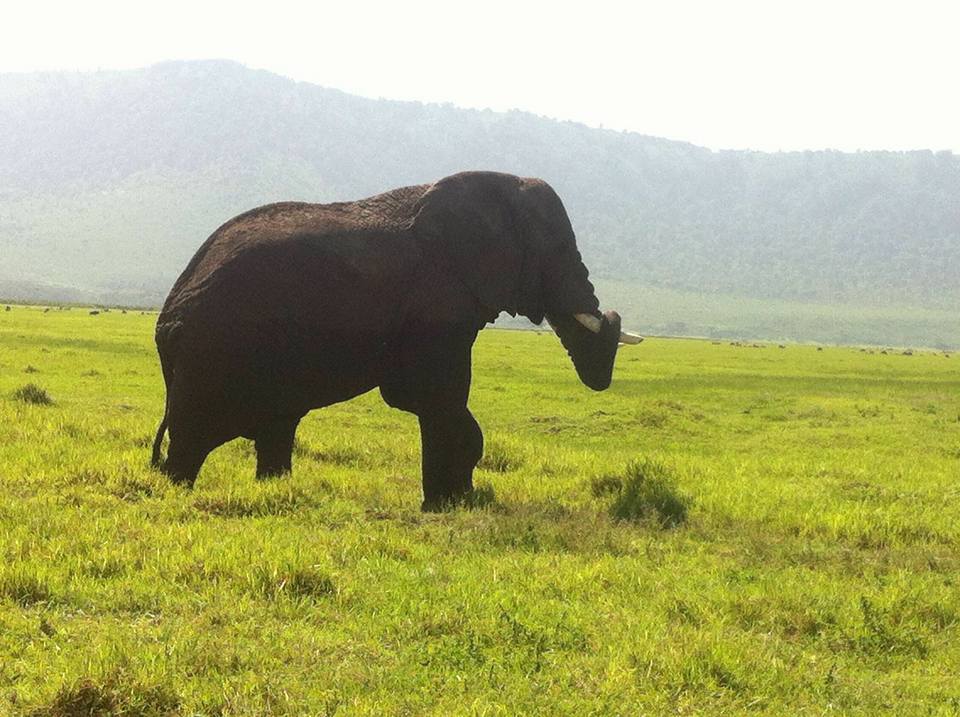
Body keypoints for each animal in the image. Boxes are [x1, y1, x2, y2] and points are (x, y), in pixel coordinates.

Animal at [154, 171, 640, 510]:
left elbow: (422, 398)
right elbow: (432, 396)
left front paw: (457, 500)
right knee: (192, 437)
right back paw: (178, 492)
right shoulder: (435, 302)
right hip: (211, 354)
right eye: (557, 250)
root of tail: (167, 317)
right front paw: (448, 505)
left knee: (276, 428)